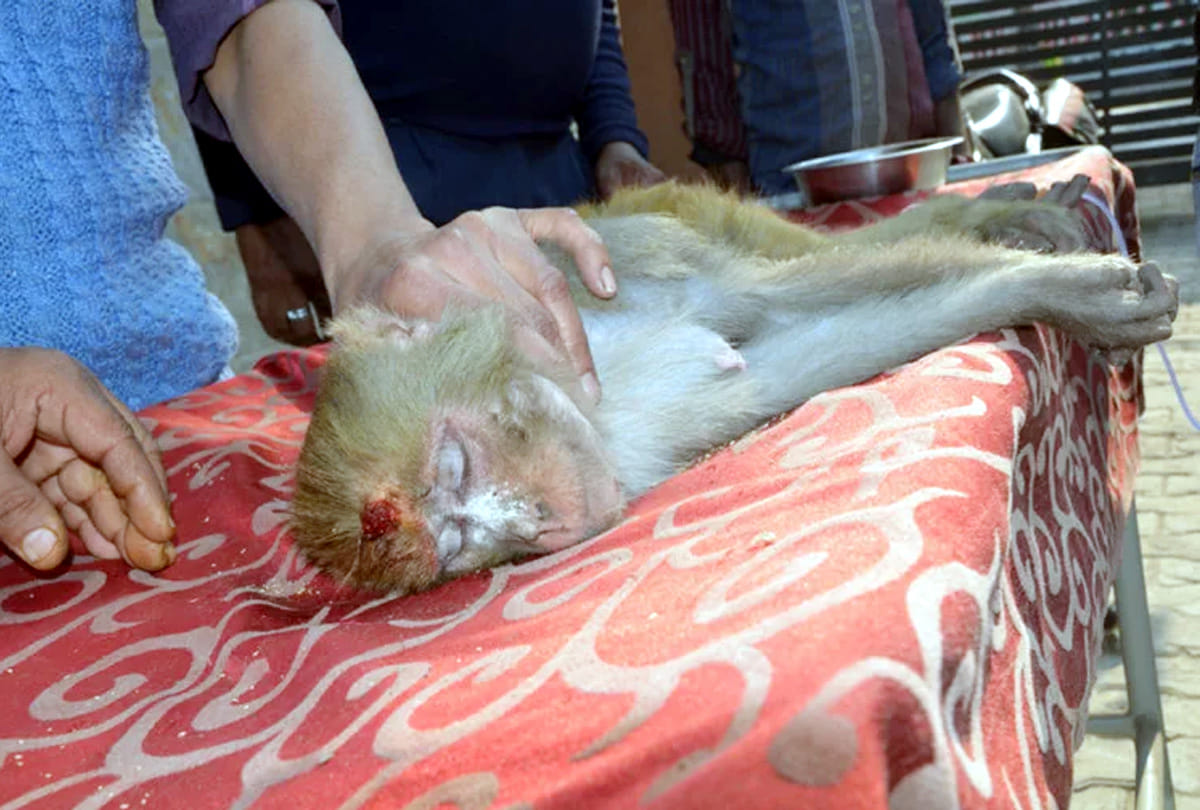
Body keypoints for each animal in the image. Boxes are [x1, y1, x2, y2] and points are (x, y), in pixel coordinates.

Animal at [288, 177, 1178, 593]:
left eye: (453, 467)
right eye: (456, 545)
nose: (537, 522)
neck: (589, 389)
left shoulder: (606, 288)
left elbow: (767, 300)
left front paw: (1067, 290)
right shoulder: (631, 444)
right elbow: (797, 357)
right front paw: (1040, 293)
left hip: (658, 221)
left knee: (800, 254)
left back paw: (981, 211)